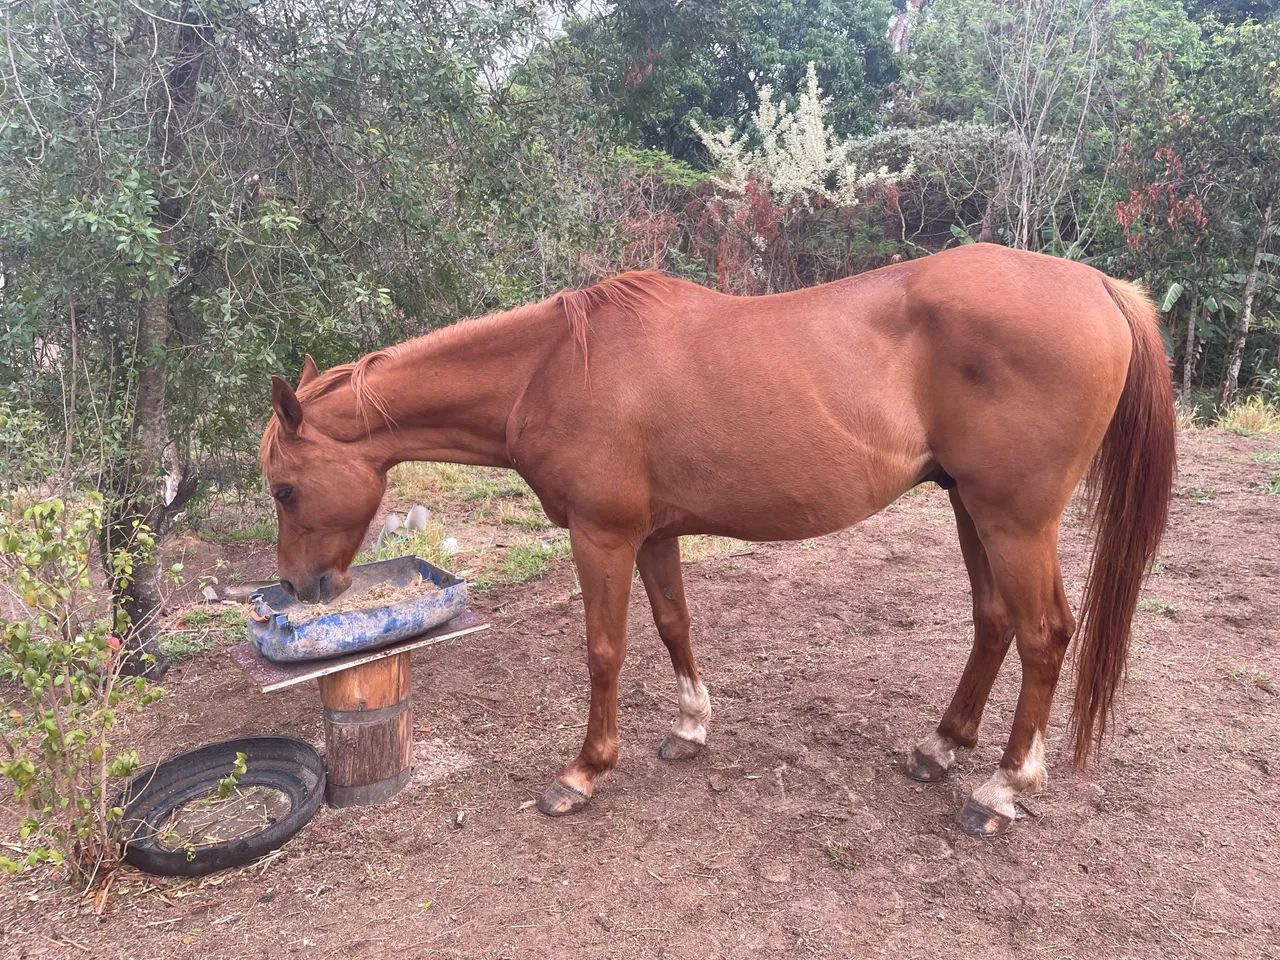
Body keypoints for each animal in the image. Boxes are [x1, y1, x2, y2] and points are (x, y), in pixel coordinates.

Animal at [259, 243, 1175, 837]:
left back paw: (1000, 790)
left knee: (1044, 635)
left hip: (1016, 521)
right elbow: (674, 627)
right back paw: (940, 748)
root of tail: (1101, 286)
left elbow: (604, 650)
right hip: (971, 511)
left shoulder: (602, 536)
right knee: (993, 624)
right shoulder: (653, 535)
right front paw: (691, 729)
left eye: (284, 486)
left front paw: (583, 773)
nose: (303, 590)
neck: (551, 369)